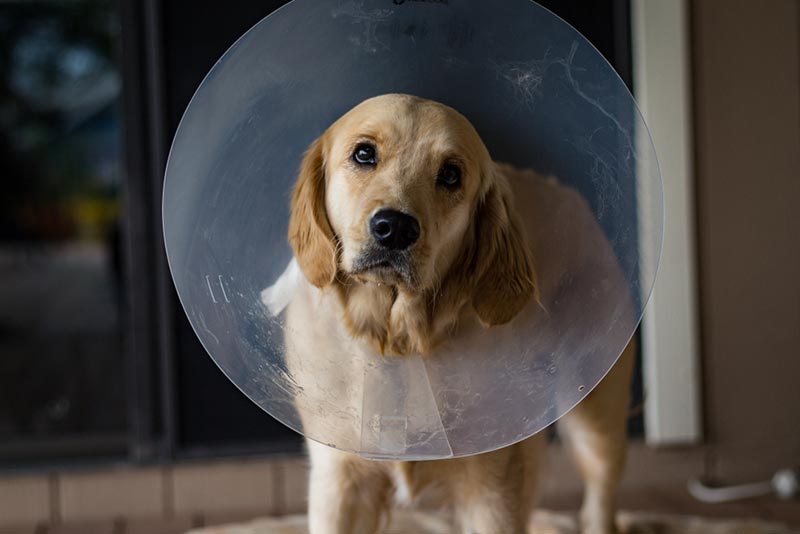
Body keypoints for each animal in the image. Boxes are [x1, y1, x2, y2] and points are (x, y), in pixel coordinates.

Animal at [266, 95, 636, 534]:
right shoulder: (339, 479)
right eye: (364, 154)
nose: (395, 227)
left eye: (450, 175)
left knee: (599, 496)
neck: (402, 341)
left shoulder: (494, 487)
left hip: (596, 417)